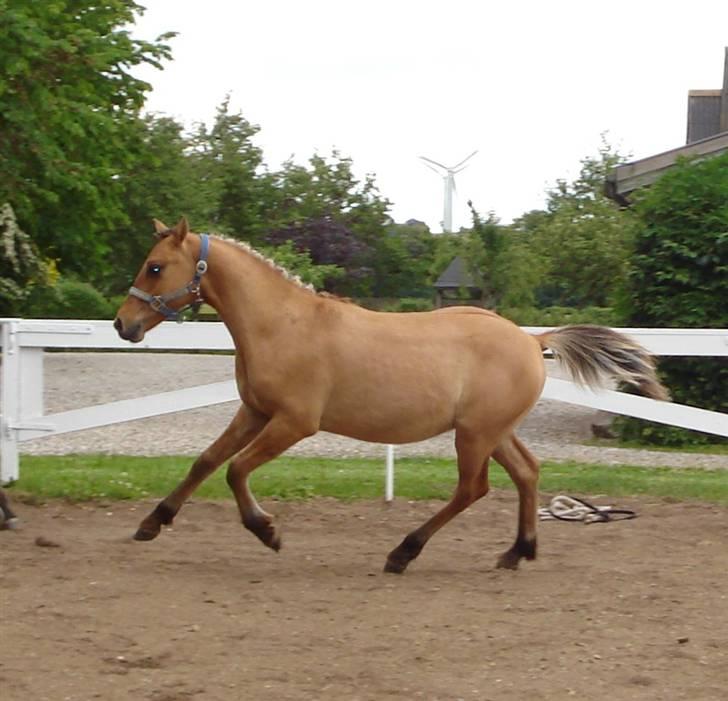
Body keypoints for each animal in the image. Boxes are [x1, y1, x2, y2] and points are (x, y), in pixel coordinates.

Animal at [115, 219, 672, 576]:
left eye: (156, 267)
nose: (123, 324)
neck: (282, 325)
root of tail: (533, 340)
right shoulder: (254, 411)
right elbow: (206, 462)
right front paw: (151, 523)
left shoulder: (294, 422)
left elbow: (235, 470)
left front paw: (267, 531)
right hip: (493, 432)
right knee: (527, 473)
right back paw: (517, 552)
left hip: (475, 435)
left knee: (473, 489)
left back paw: (403, 554)